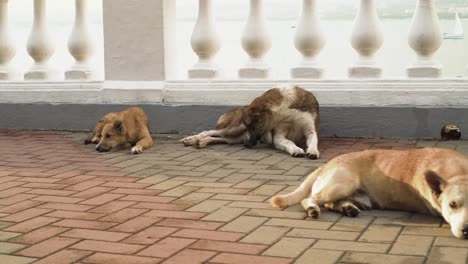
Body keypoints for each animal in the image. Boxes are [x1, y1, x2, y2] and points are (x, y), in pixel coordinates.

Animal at [181, 84, 320, 159]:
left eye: (253, 125)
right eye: (248, 125)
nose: (246, 144)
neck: (286, 110)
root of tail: (239, 107)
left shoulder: (310, 130)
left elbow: (313, 140)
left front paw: (313, 151)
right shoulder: (278, 136)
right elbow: (288, 141)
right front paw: (296, 150)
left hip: (235, 138)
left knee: (218, 138)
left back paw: (202, 141)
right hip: (234, 128)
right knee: (208, 131)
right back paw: (192, 139)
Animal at [270, 148, 468, 239]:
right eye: (452, 204)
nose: (466, 230)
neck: (459, 172)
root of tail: (327, 164)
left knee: (331, 203)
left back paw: (348, 208)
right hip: (341, 185)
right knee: (309, 199)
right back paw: (313, 208)